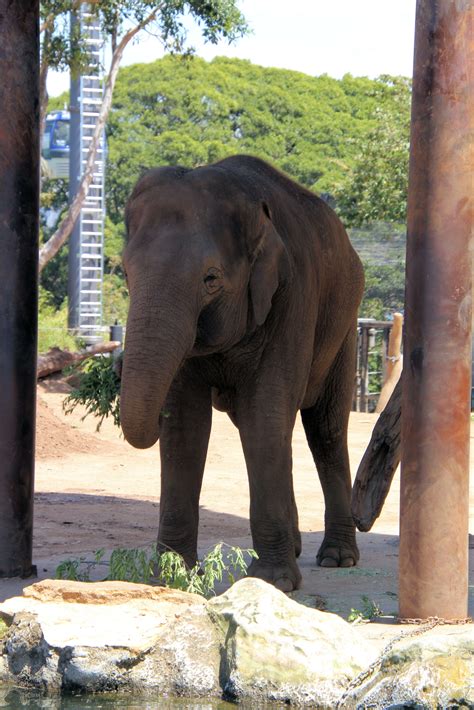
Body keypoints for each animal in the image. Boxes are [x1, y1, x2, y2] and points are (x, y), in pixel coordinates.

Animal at [120, 157, 364, 596]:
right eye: (125, 274)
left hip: (344, 329)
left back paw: (337, 558)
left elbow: (265, 413)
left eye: (211, 279)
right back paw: (297, 545)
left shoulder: (292, 297)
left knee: (326, 428)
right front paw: (171, 580)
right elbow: (186, 426)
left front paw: (273, 582)